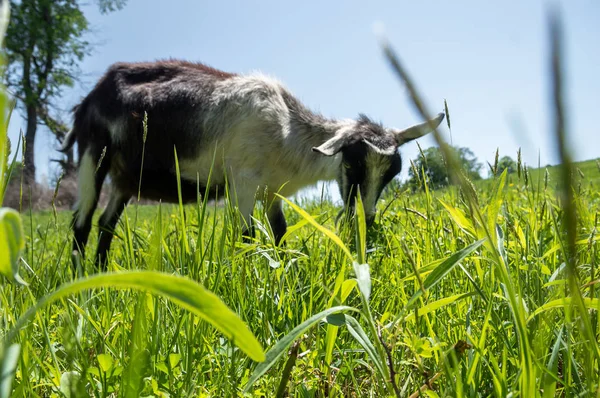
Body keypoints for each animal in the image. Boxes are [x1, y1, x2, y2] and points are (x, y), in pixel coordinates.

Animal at [61, 59, 442, 268]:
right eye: (352, 166)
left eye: (392, 174)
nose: (366, 220)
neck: (286, 128)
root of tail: (89, 98)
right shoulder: (242, 186)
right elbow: (247, 237)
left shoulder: (272, 193)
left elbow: (279, 235)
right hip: (93, 155)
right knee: (82, 223)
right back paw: (80, 283)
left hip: (125, 179)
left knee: (106, 225)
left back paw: (100, 272)